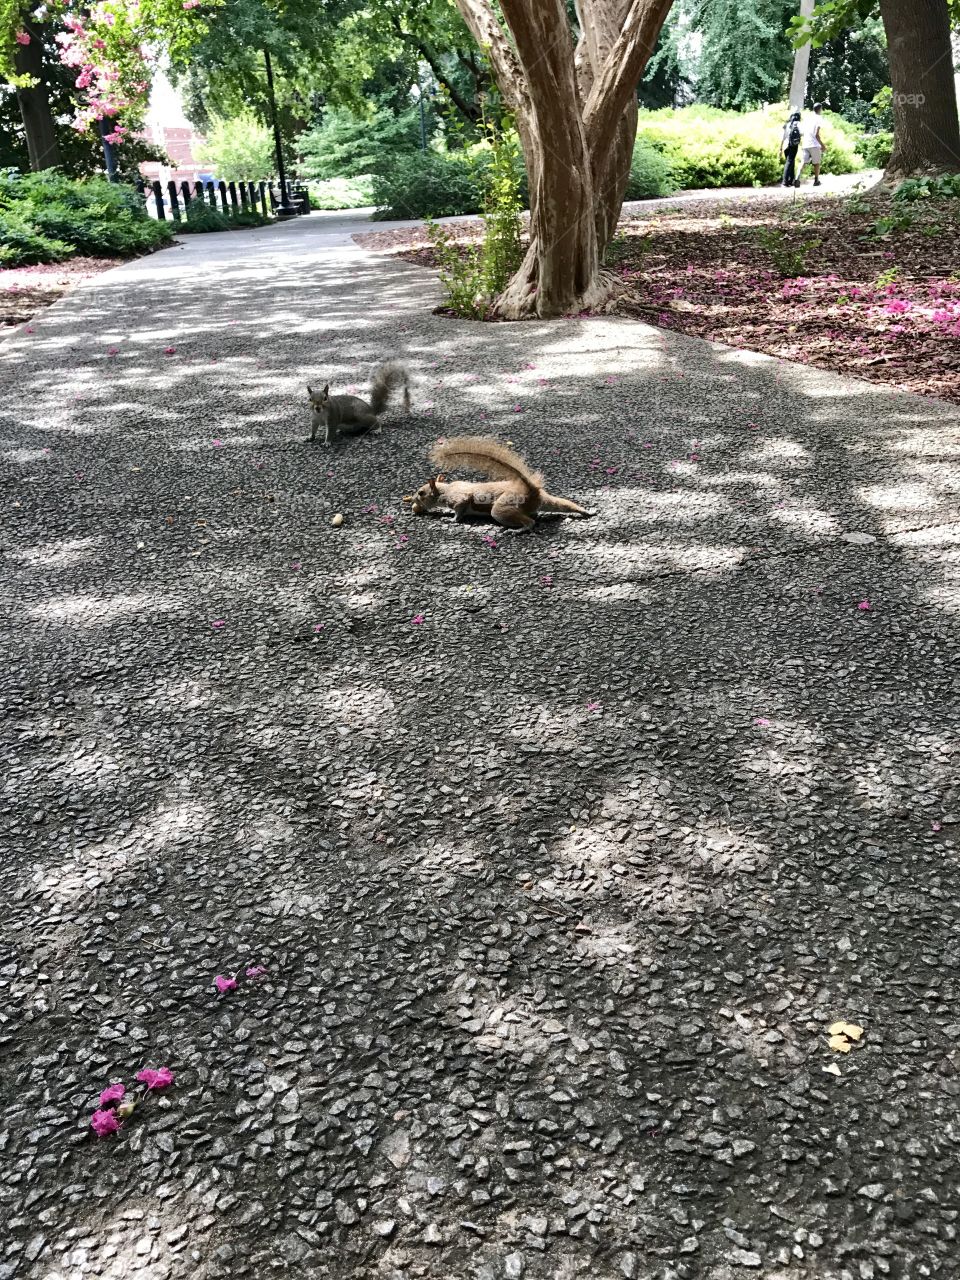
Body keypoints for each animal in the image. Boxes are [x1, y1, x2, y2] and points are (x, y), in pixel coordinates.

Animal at [408, 436, 592, 530]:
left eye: (421, 493)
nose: (412, 501)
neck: (445, 490)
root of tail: (531, 489)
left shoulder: (458, 498)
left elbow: (460, 509)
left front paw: (451, 520)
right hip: (545, 501)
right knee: (563, 504)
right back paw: (585, 511)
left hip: (502, 507)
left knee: (529, 522)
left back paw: (520, 529)